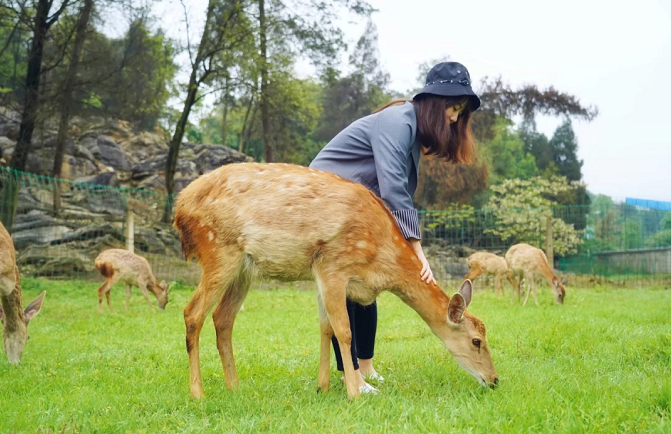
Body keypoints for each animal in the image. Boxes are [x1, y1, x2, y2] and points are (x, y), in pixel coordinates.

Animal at [173, 163, 498, 400]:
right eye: (476, 340)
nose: (494, 379)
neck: (379, 260)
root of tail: (179, 208)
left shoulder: (321, 273)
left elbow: (325, 327)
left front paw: (323, 387)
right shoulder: (333, 265)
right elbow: (344, 330)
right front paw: (356, 392)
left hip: (245, 269)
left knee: (222, 317)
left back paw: (235, 387)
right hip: (218, 250)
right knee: (193, 312)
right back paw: (198, 393)